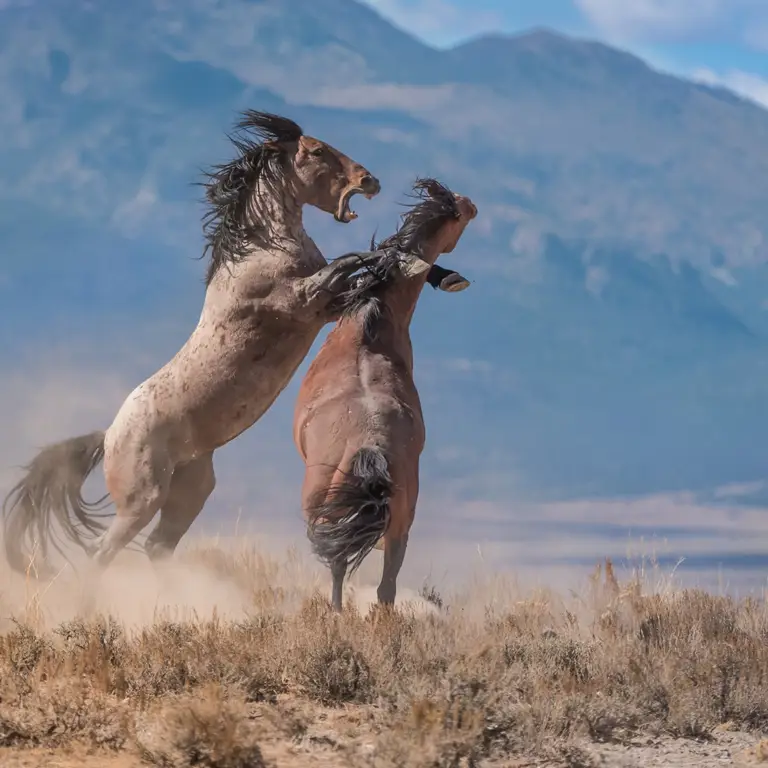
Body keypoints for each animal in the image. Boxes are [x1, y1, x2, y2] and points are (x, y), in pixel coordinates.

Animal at [0, 108, 432, 576]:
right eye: (317, 151)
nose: (369, 180)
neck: (259, 249)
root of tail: (109, 435)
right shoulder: (304, 299)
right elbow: (350, 262)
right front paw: (401, 255)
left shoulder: (325, 309)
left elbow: (353, 275)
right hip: (141, 499)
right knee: (103, 552)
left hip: (190, 492)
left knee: (157, 547)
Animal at [292, 180, 476, 612]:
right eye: (459, 210)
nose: (473, 205)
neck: (368, 326)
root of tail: (370, 449)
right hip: (399, 522)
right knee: (384, 587)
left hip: (329, 512)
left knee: (341, 570)